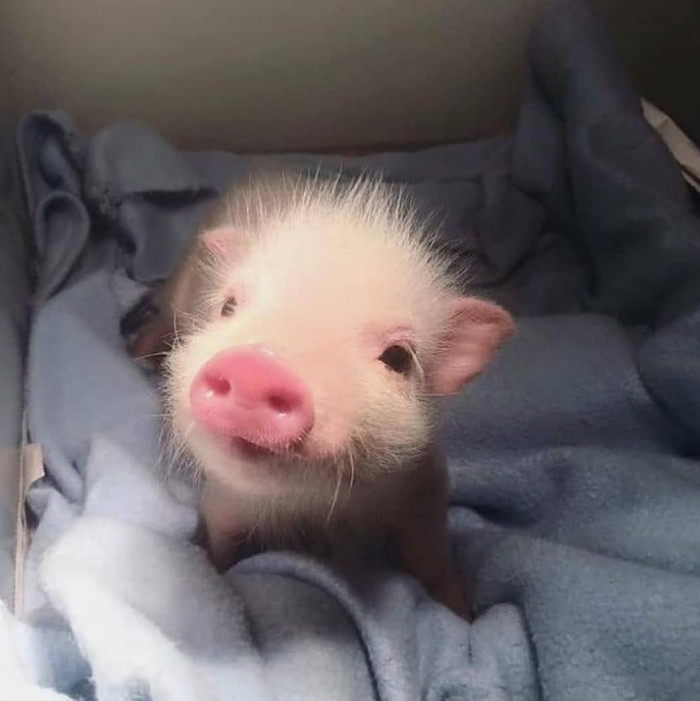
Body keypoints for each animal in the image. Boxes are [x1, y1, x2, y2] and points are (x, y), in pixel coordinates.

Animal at [127, 172, 513, 618]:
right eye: (228, 307)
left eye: (397, 357)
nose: (257, 365)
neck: (311, 506)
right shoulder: (223, 502)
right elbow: (222, 548)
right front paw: (218, 578)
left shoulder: (425, 484)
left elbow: (431, 556)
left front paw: (463, 613)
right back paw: (136, 350)